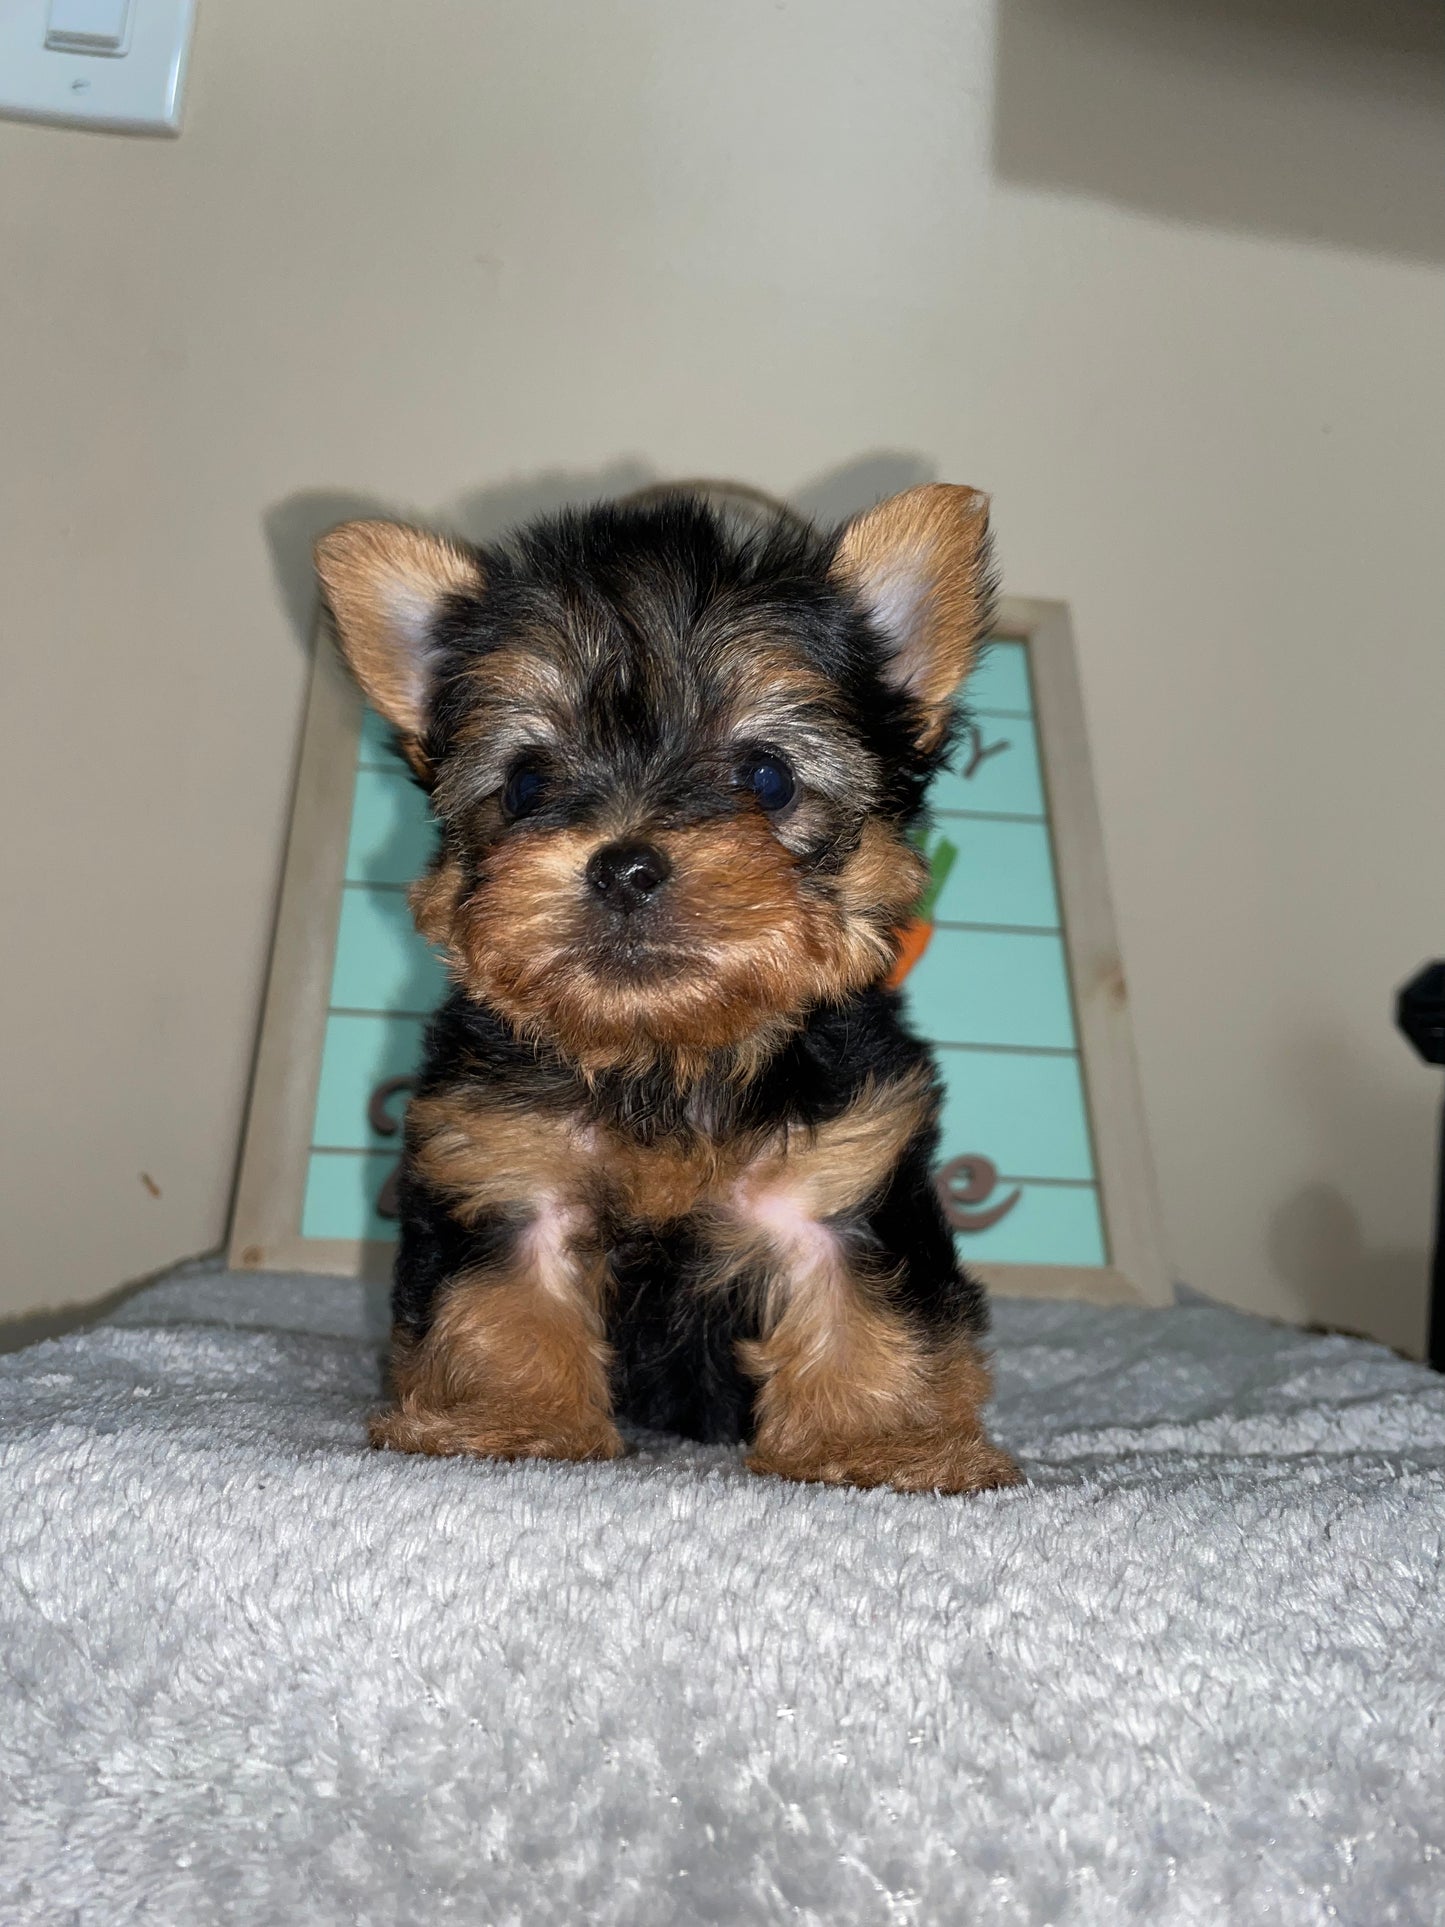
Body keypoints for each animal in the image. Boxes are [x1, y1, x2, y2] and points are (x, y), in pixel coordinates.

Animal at [319, 481, 1017, 1487]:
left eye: (765, 775)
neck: (667, 1049)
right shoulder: (505, 1164)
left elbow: (863, 1308)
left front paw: (880, 1441)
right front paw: (504, 1419)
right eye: (526, 783)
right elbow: (501, 1303)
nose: (625, 866)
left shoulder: (839, 1174)